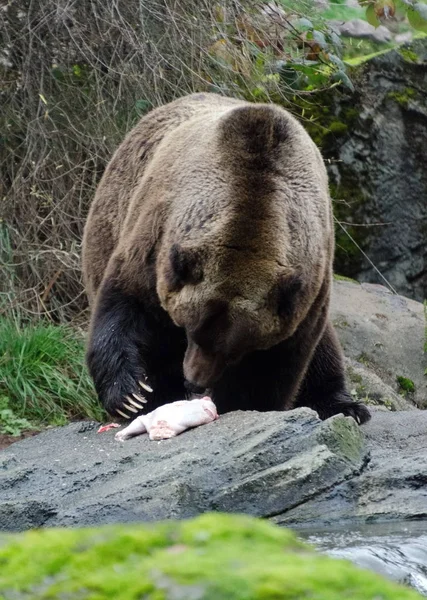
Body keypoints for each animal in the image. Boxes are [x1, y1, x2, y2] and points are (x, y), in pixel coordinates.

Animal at [83, 91, 372, 424]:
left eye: (235, 349)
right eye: (190, 329)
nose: (194, 381)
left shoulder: (307, 288)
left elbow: (274, 365)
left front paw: (239, 404)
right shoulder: (156, 239)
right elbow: (128, 304)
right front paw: (131, 395)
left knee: (325, 351)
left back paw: (344, 405)